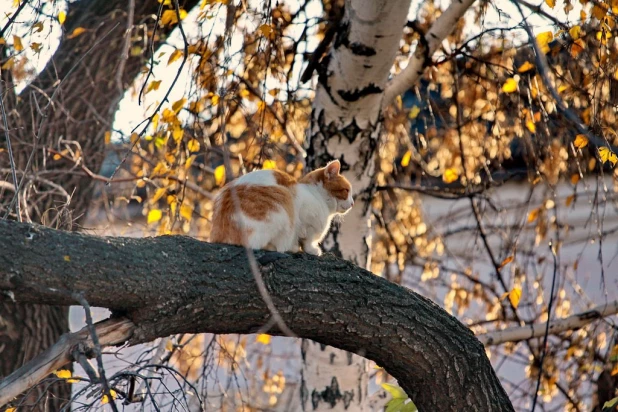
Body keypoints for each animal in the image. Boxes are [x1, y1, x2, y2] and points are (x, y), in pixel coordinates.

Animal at [208, 160, 352, 254]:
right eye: (346, 190)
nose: (352, 203)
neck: (316, 195)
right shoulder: (307, 223)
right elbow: (307, 240)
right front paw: (311, 250)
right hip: (283, 201)